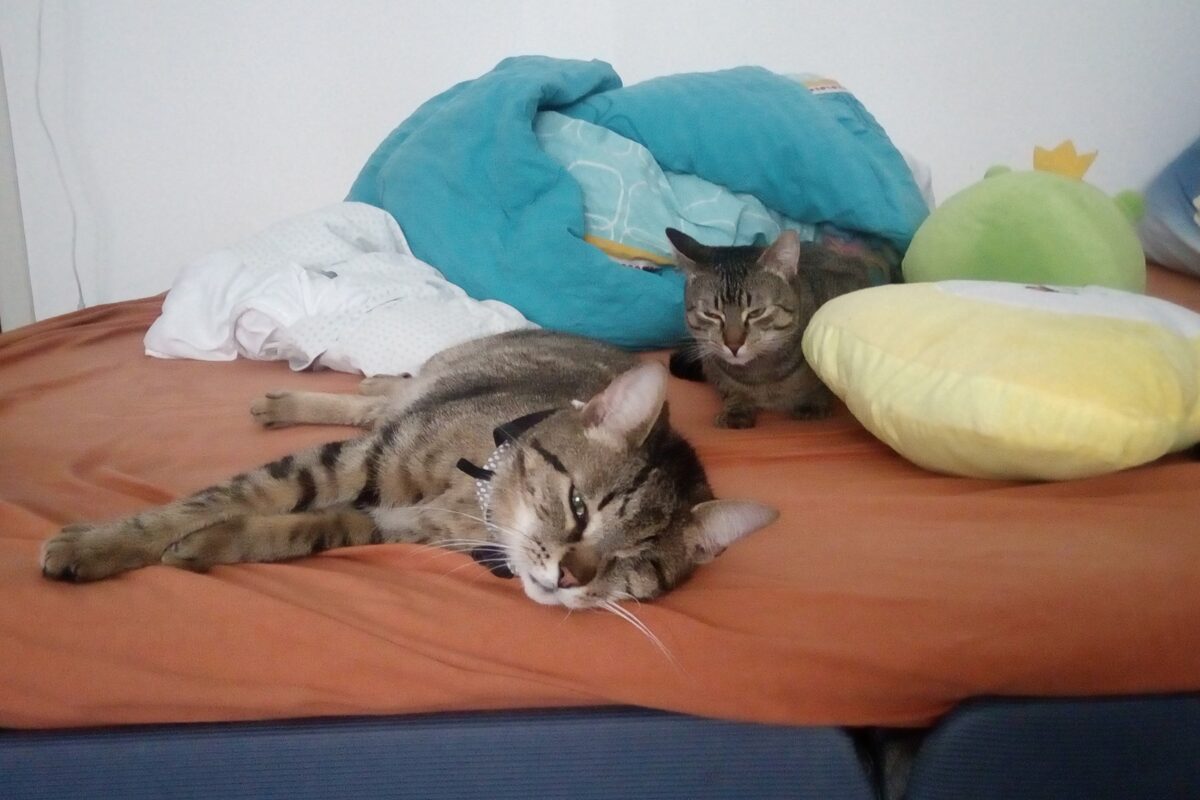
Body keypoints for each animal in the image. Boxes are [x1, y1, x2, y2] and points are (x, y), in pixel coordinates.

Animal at [40, 330, 777, 609]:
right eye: (579, 508)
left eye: (633, 564)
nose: (571, 577)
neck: (476, 501)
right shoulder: (363, 461)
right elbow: (214, 498)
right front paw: (96, 545)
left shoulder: (388, 520)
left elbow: (300, 528)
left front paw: (211, 545)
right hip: (409, 404)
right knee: (384, 394)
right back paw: (286, 399)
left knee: (381, 397)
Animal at [667, 227, 892, 429]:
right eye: (711, 314)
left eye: (756, 312)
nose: (733, 345)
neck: (759, 377)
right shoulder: (711, 363)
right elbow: (729, 389)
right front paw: (736, 408)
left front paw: (813, 403)